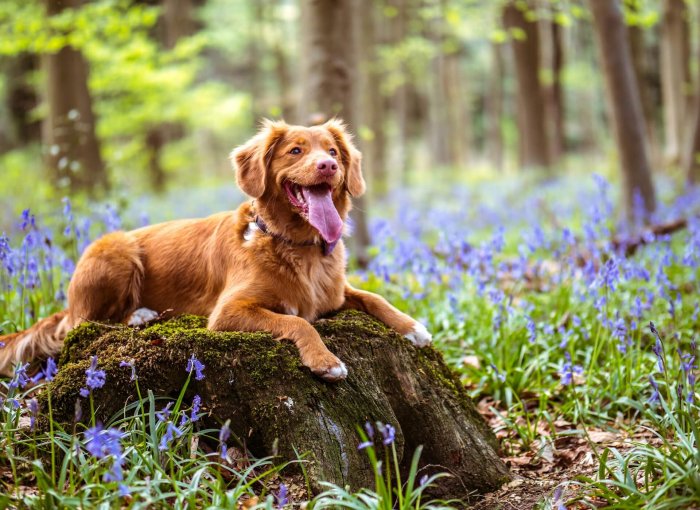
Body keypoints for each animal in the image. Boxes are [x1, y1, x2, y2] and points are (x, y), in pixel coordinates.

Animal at [0, 119, 430, 380]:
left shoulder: (335, 293)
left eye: (334, 152)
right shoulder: (228, 312)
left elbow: (373, 297)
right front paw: (325, 361)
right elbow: (299, 322)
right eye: (295, 151)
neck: (297, 246)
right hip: (115, 249)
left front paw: (413, 327)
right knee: (84, 323)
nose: (328, 166)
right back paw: (139, 315)